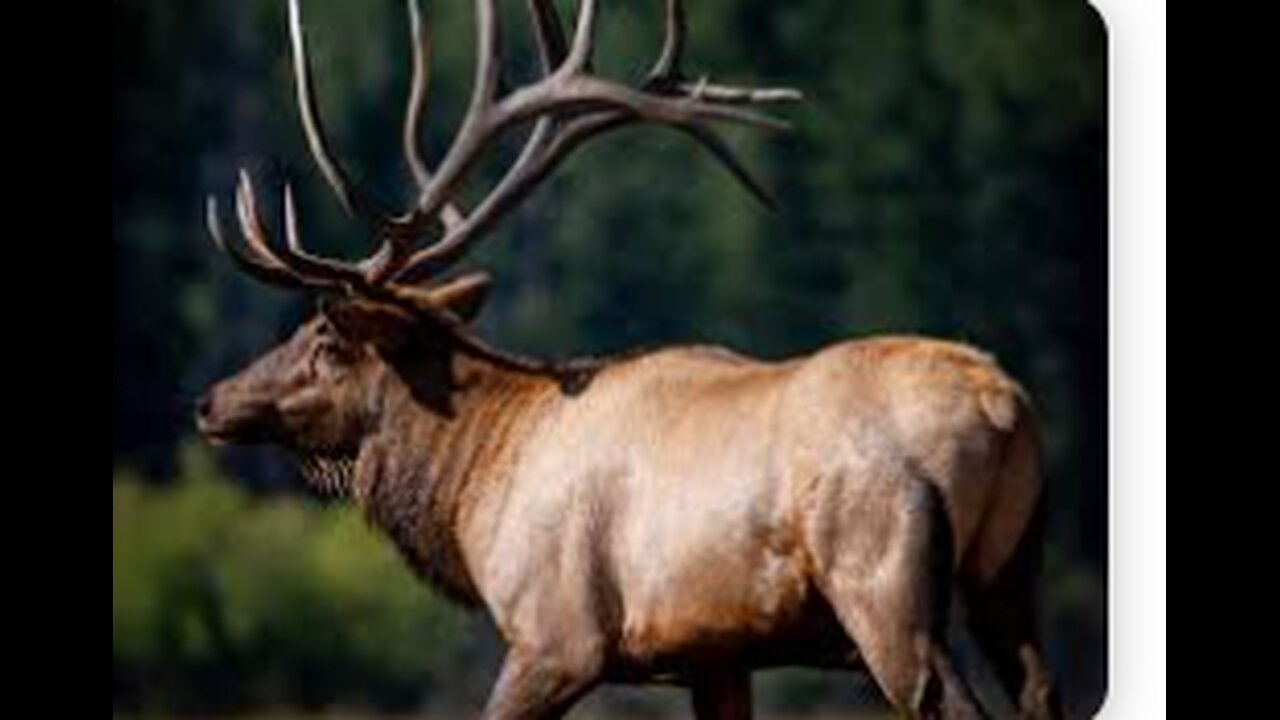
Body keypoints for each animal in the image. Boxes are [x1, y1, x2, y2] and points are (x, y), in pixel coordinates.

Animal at [195, 1, 1063, 718]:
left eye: (326, 337)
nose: (210, 401)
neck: (475, 487)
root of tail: (1004, 406)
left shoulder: (555, 638)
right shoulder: (714, 656)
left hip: (885, 584)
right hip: (1009, 579)